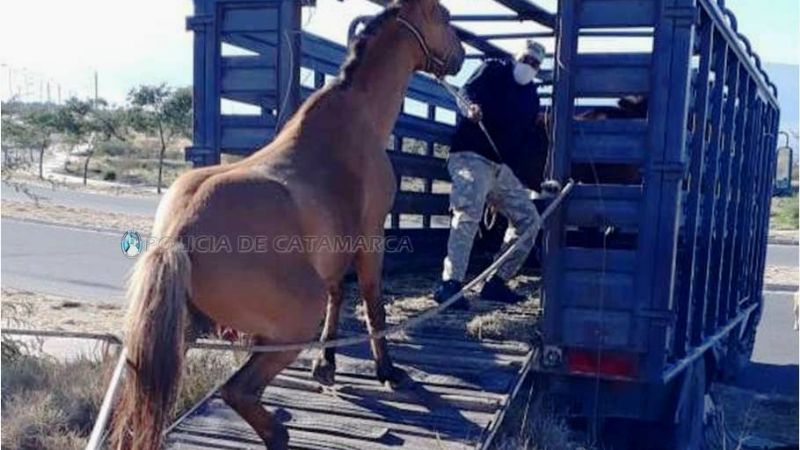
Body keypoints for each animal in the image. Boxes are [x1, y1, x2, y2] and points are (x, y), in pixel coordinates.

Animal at [109, 1, 465, 448]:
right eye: (445, 16)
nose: (461, 57)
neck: (357, 117)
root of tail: (178, 236)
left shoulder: (335, 254)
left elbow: (338, 295)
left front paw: (326, 365)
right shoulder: (371, 235)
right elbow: (372, 303)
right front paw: (387, 372)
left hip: (171, 340)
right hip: (289, 328)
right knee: (238, 391)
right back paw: (278, 433)